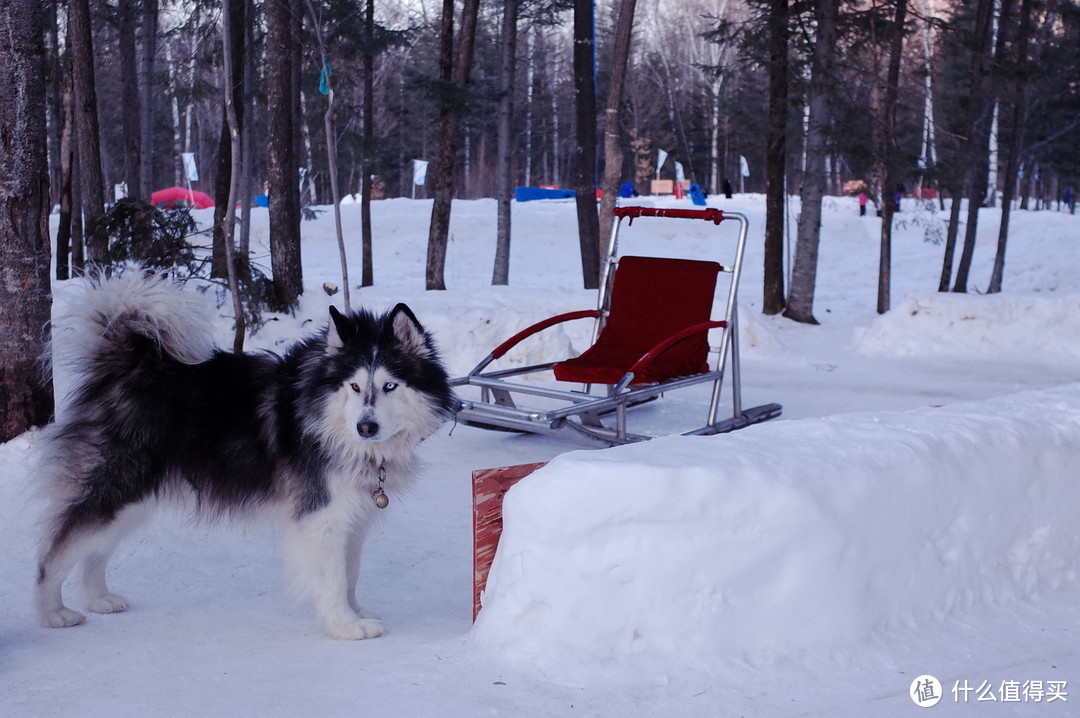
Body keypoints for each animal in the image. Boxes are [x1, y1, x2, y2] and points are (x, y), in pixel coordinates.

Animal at [35, 274, 453, 639]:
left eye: (390, 386)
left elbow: (350, 572)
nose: (365, 427)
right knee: (56, 551)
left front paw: (354, 611)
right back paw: (52, 612)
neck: (327, 421)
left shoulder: (353, 515)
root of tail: (128, 363)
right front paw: (345, 626)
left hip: (132, 498)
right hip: (116, 485)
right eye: (353, 386)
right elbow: (332, 578)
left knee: (94, 551)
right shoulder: (320, 515)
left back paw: (98, 599)